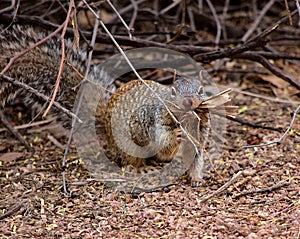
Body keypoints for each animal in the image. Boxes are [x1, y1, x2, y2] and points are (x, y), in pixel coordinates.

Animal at [0, 26, 211, 187]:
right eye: (173, 92)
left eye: (201, 90)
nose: (188, 102)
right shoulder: (156, 122)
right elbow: (163, 146)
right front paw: (176, 135)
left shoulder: (200, 134)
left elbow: (196, 157)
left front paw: (197, 178)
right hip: (128, 145)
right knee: (131, 161)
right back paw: (143, 166)